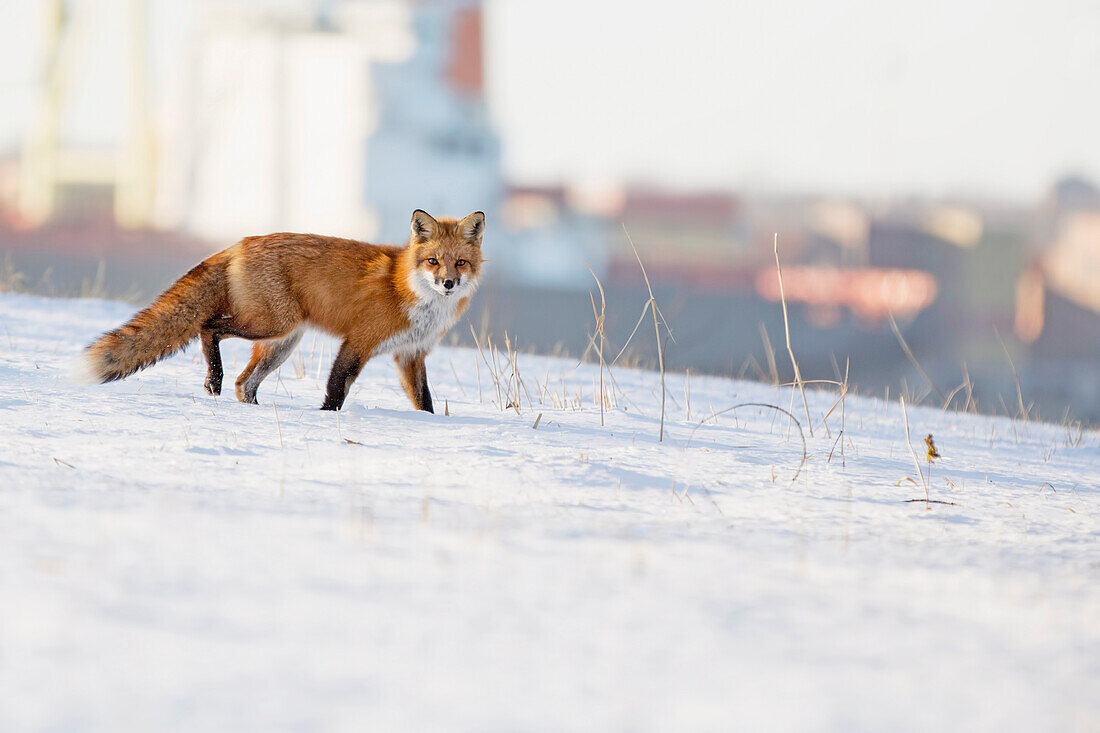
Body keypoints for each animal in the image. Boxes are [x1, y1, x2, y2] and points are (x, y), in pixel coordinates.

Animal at [85, 208, 481, 407]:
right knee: (208, 327)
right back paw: (214, 379)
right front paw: (328, 420)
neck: (409, 291)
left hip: (281, 343)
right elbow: (336, 390)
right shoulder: (358, 342)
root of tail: (238, 243)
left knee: (245, 384)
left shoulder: (411, 355)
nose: (448, 284)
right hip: (274, 324)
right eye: (432, 261)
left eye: (460, 263)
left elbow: (425, 403)